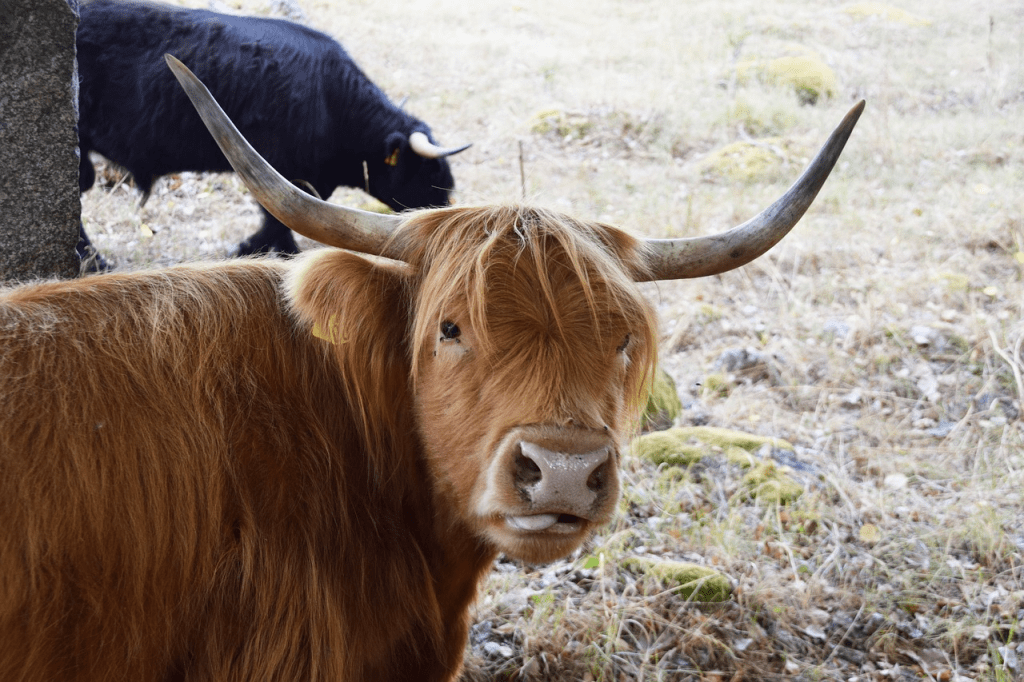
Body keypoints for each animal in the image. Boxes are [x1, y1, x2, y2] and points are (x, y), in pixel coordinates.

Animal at [76, 0, 469, 267]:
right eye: (430, 172)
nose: (449, 208)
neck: (331, 98)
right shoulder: (283, 168)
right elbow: (276, 218)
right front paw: (261, 250)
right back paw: (94, 260)